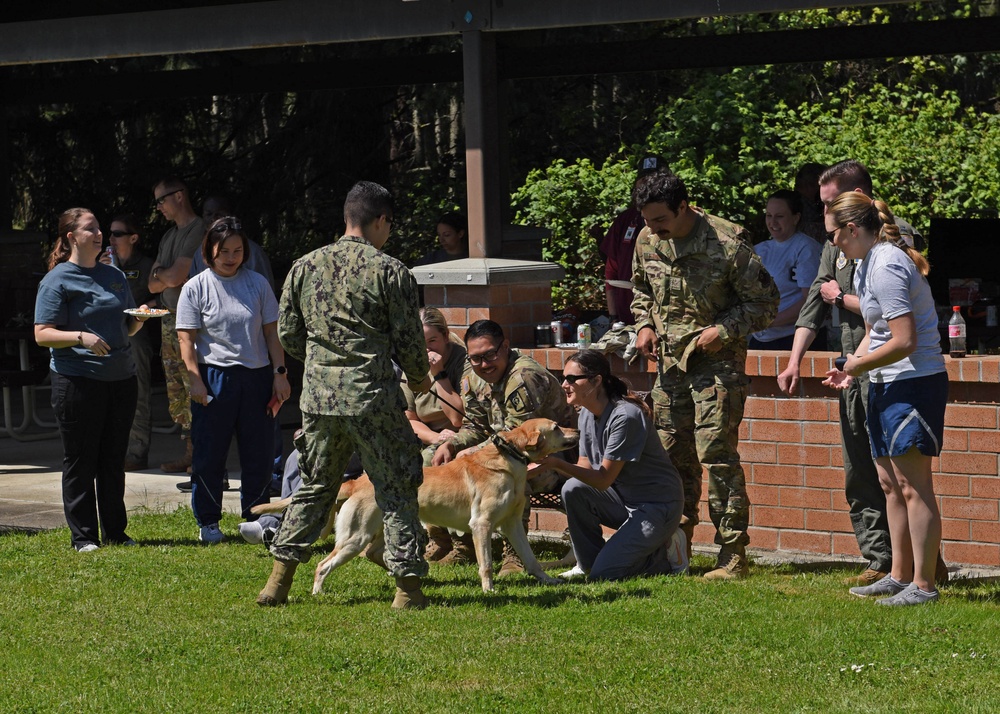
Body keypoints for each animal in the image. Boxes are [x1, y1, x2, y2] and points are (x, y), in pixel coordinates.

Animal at [310, 414, 580, 592]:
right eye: (557, 427)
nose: (577, 430)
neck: (509, 458)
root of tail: (357, 481)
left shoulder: (512, 524)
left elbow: (531, 559)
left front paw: (548, 580)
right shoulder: (482, 524)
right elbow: (486, 564)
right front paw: (489, 590)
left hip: (381, 531)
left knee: (374, 554)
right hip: (356, 536)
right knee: (323, 565)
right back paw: (319, 592)